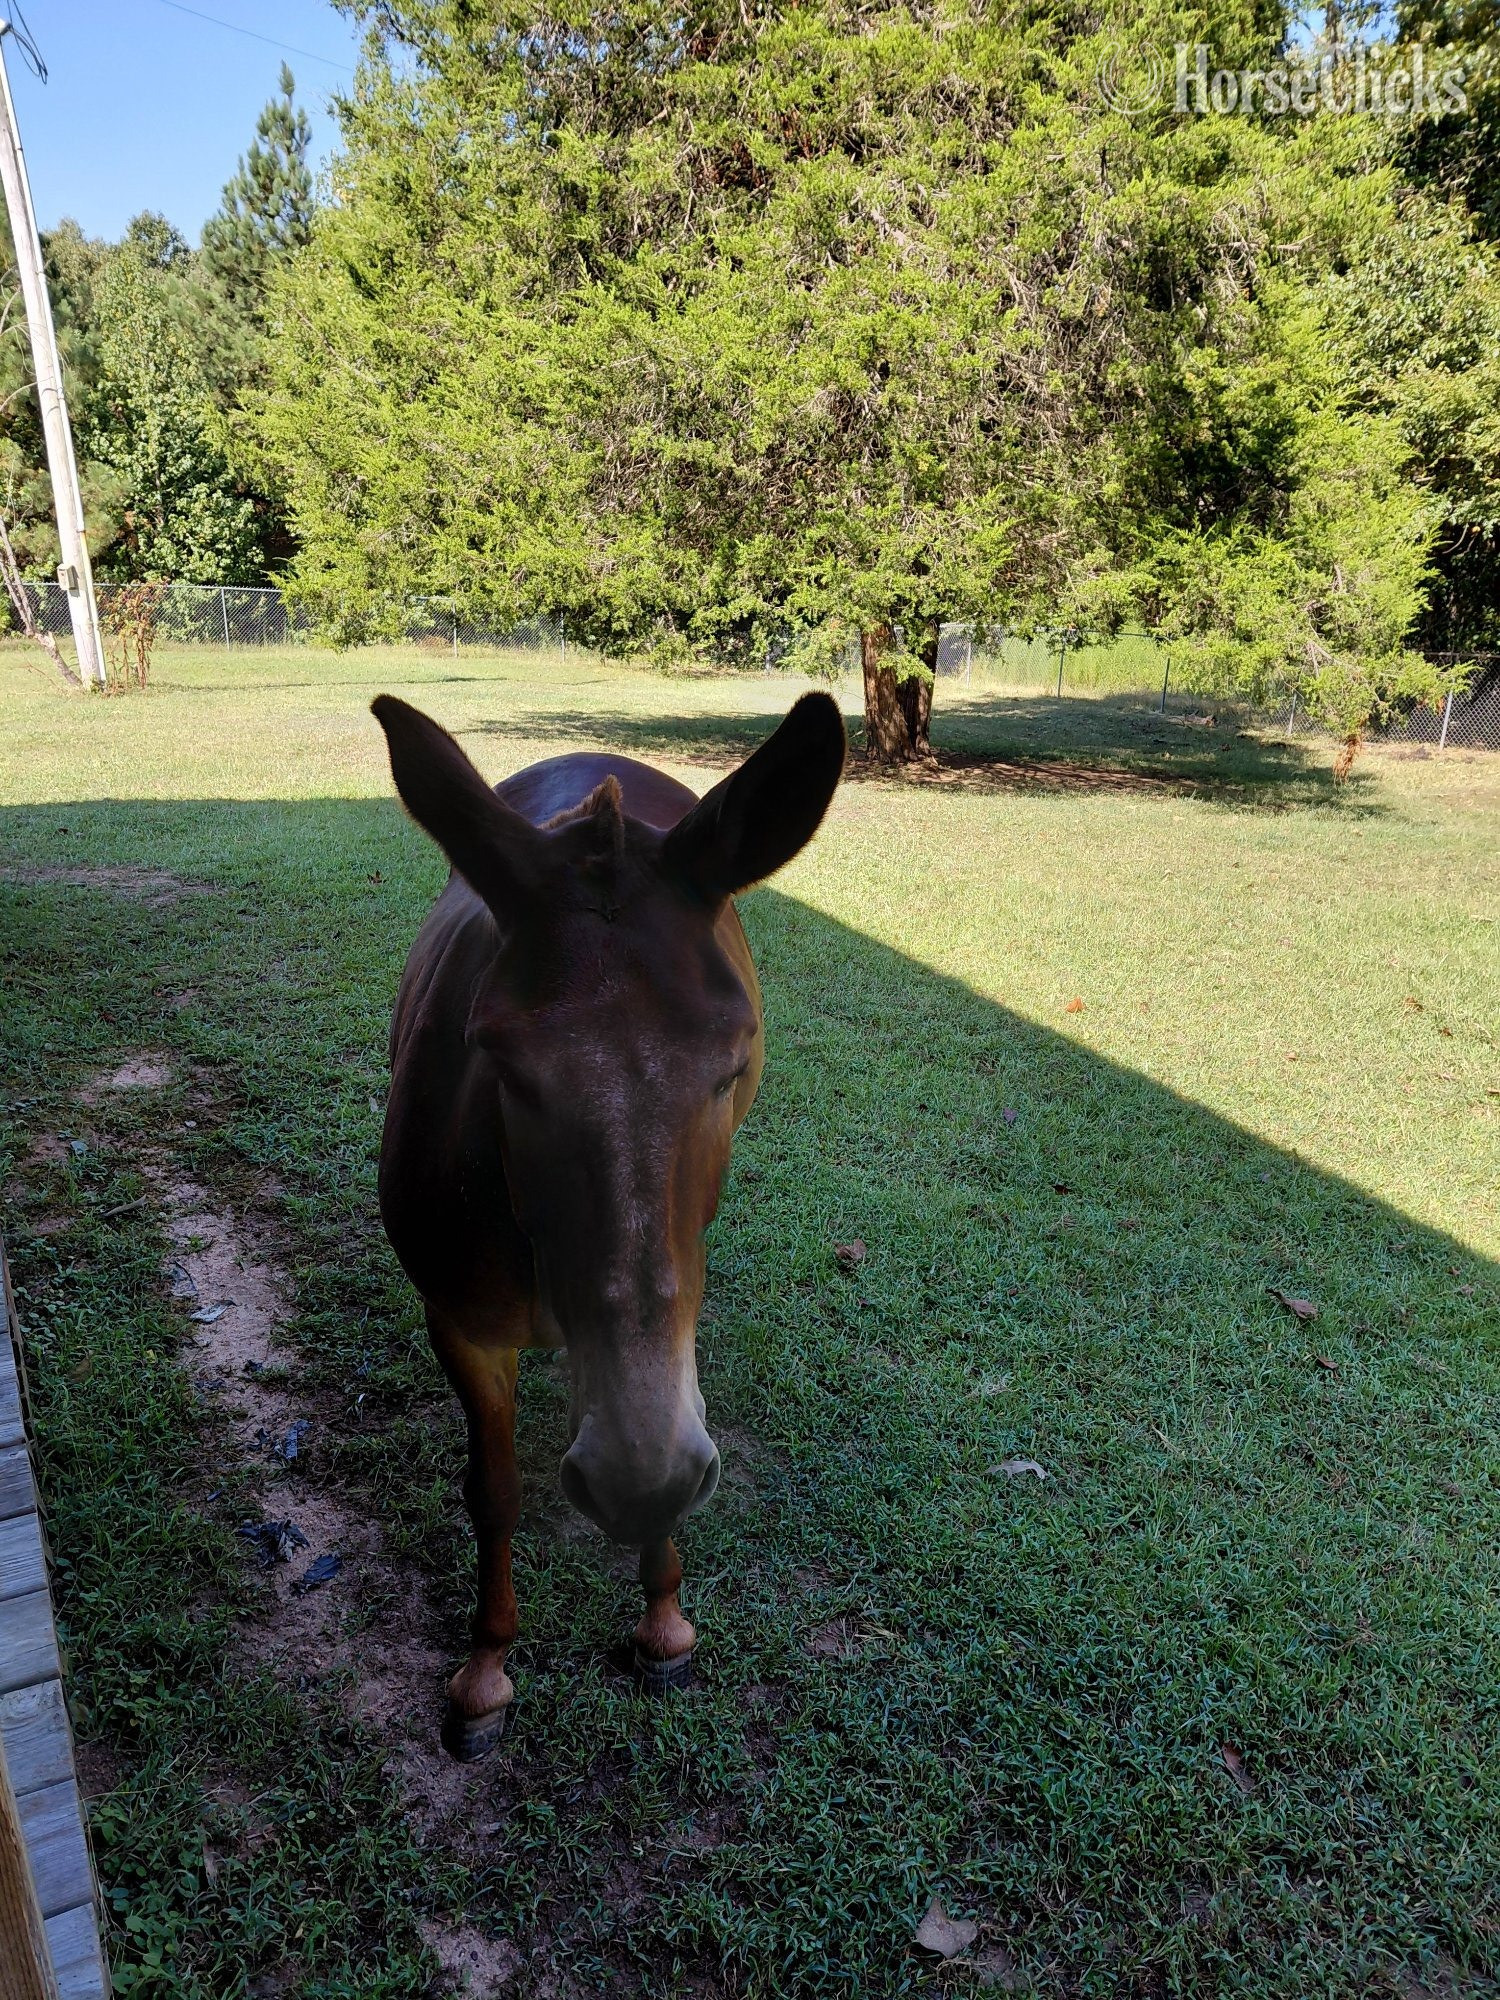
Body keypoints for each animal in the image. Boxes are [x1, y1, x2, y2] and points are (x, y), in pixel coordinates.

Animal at [371, 691, 845, 1757]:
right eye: (498, 1063)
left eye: (733, 1062)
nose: (634, 1475)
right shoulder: (460, 1323)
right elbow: (494, 1493)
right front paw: (485, 1672)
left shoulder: (674, 1295)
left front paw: (663, 1620)